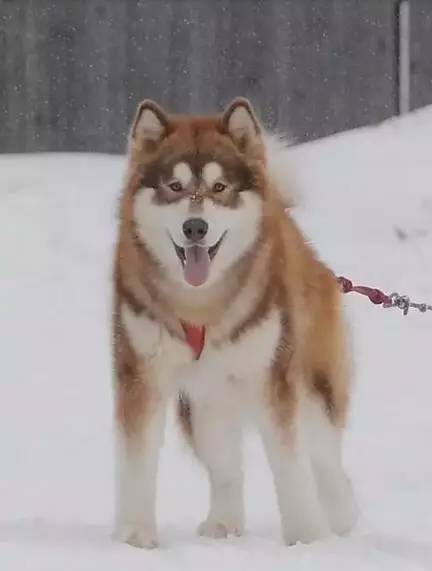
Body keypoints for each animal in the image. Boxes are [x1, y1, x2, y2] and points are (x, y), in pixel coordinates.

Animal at [112, 98, 358, 548]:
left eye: (220, 187)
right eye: (174, 187)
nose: (195, 227)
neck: (202, 304)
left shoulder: (275, 378)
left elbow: (290, 462)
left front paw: (305, 535)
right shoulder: (140, 373)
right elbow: (137, 458)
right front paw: (135, 534)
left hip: (310, 384)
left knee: (325, 458)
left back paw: (341, 516)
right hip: (203, 402)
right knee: (226, 468)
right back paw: (223, 523)